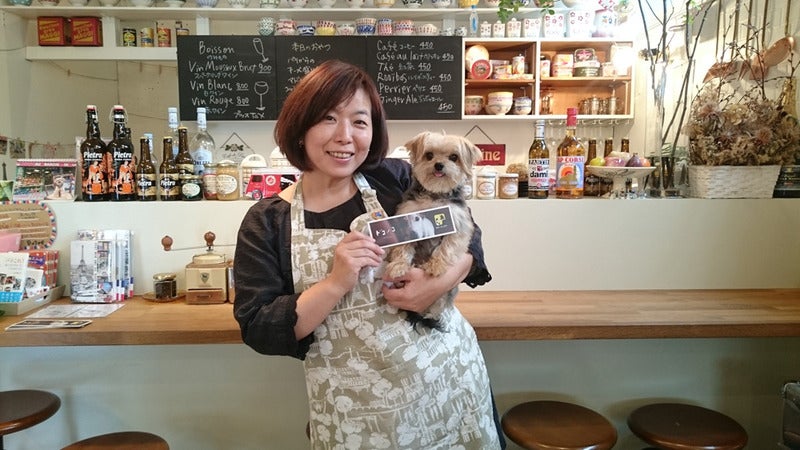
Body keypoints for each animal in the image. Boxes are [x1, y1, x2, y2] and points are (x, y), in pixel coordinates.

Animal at [384, 131, 482, 331]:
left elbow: (447, 247)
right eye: (429, 155)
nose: (438, 164)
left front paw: (435, 265)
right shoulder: (407, 216)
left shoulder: (459, 225)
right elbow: (403, 247)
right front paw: (399, 265)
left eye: (454, 157)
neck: (435, 194)